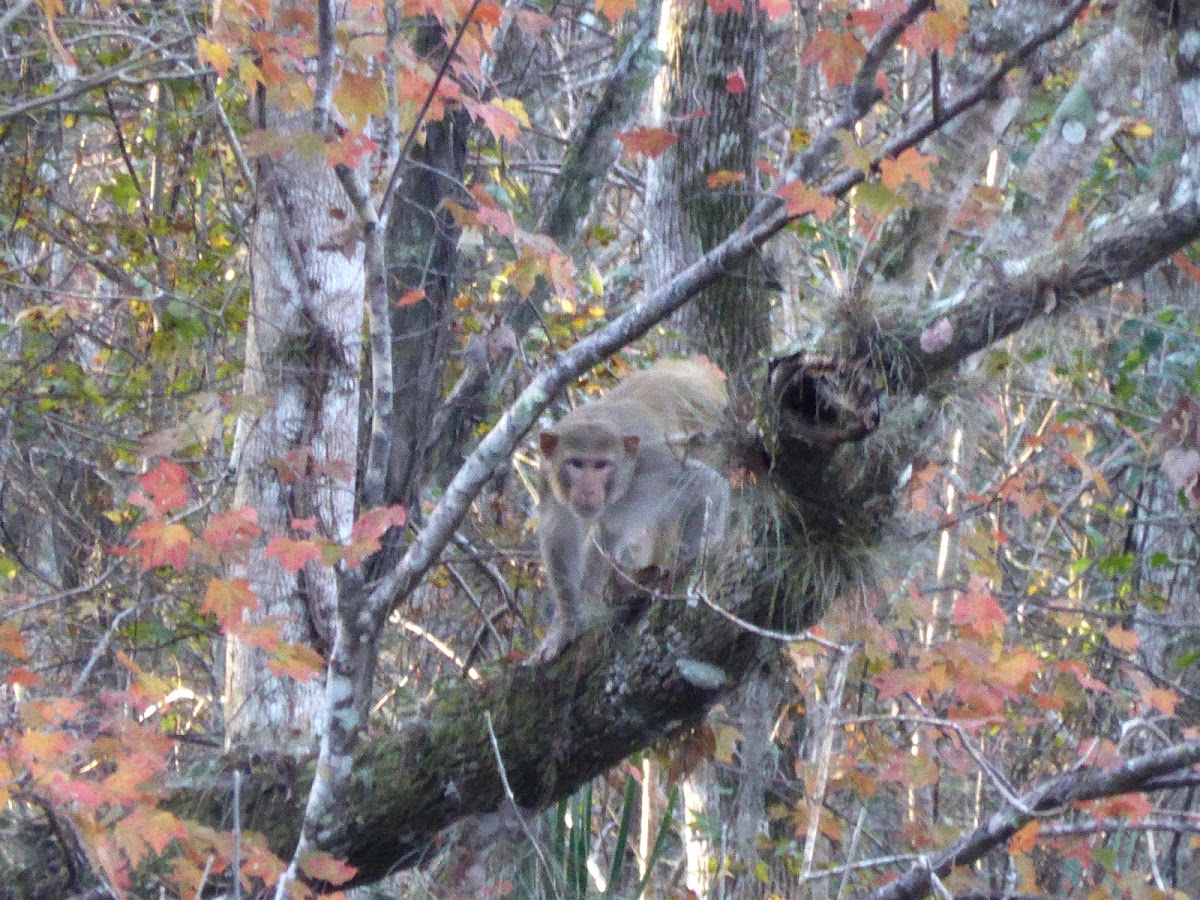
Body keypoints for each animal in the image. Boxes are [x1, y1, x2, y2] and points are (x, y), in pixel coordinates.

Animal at [537, 360, 729, 662]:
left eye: (601, 465)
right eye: (576, 464)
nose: (588, 490)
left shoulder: (654, 464)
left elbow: (706, 485)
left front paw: (690, 557)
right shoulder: (548, 480)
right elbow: (561, 538)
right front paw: (566, 627)